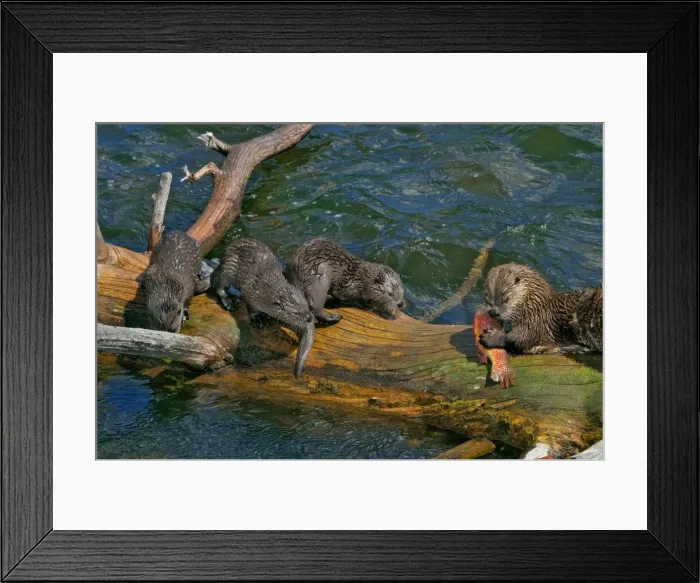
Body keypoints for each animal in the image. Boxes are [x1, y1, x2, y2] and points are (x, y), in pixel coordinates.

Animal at [210, 238, 315, 378]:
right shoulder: (250, 292)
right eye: (296, 313)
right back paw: (230, 302)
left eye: (306, 306)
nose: (309, 318)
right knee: (219, 284)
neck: (264, 288)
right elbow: (251, 307)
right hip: (229, 268)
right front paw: (257, 320)